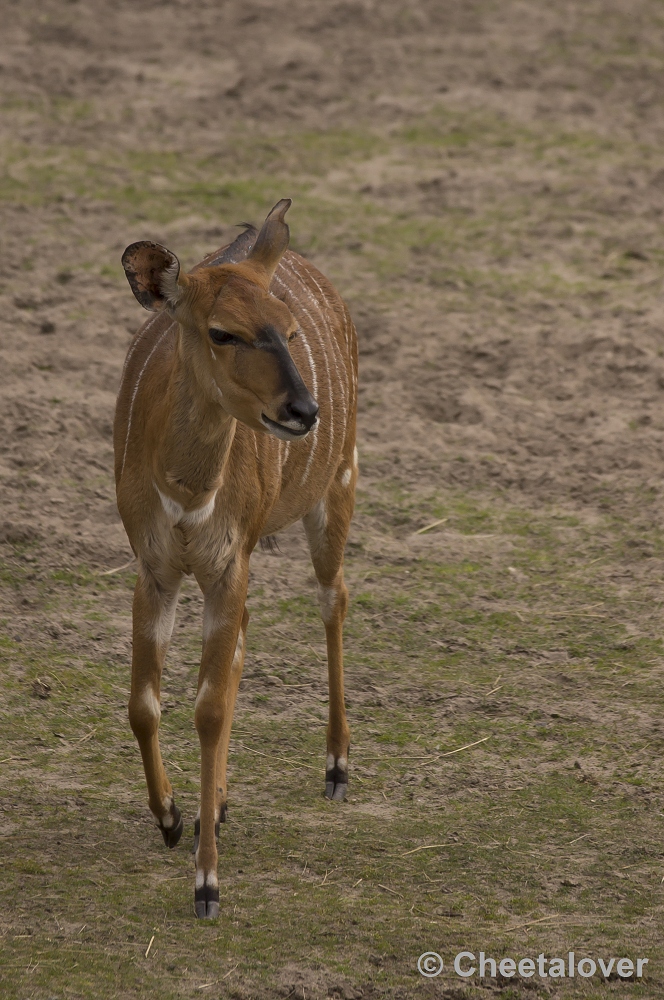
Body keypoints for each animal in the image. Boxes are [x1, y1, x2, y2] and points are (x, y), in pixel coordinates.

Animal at [116, 199, 360, 916]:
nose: (303, 409)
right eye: (222, 332)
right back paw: (214, 808)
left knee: (333, 598)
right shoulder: (157, 568)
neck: (187, 491)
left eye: (288, 331)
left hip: (338, 480)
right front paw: (173, 816)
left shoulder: (226, 566)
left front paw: (207, 883)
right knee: (245, 649)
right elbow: (146, 702)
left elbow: (209, 706)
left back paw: (336, 766)